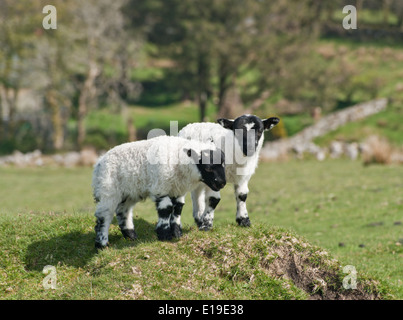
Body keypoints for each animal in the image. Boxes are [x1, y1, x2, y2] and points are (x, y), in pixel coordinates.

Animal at [92, 134, 229, 249]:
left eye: (223, 164)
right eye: (208, 168)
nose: (222, 183)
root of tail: (99, 162)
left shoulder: (177, 189)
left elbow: (178, 208)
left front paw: (176, 233)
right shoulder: (161, 187)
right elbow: (166, 209)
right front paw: (164, 235)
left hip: (130, 191)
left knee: (123, 210)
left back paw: (131, 236)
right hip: (108, 189)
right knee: (103, 216)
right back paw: (102, 244)